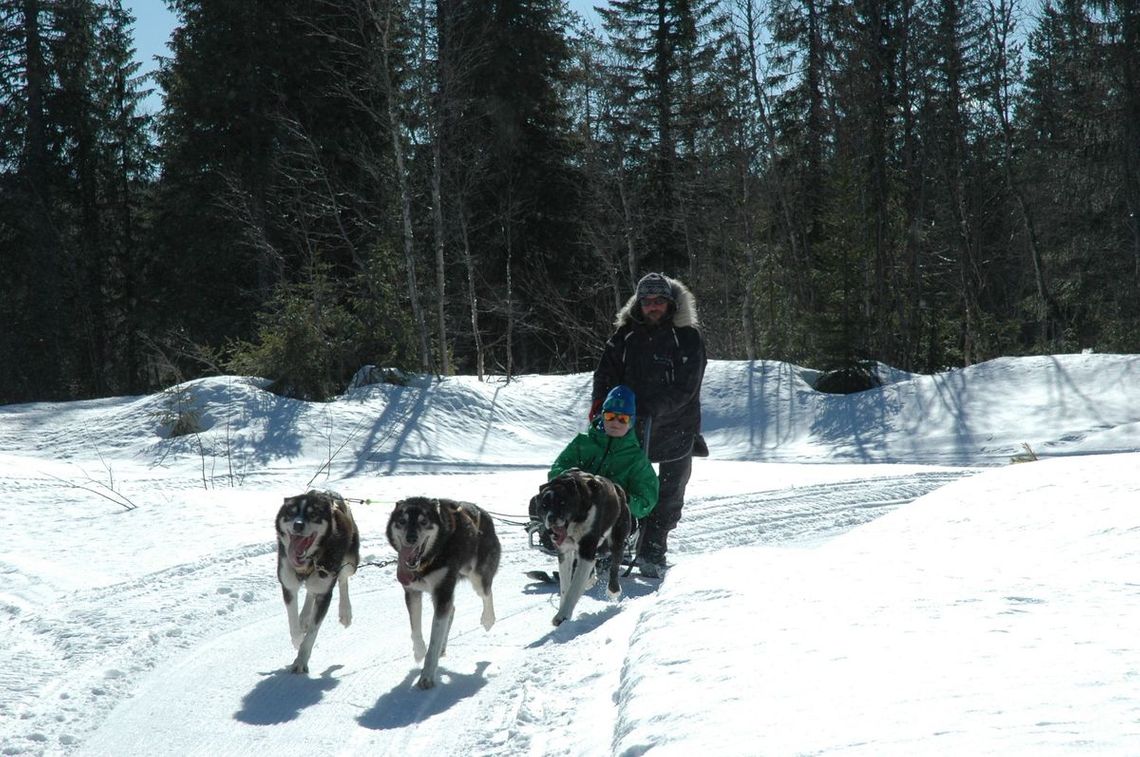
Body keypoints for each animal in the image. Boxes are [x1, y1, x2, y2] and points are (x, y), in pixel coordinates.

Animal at [273, 490, 357, 674]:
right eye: (291, 513)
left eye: (313, 515)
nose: (298, 525)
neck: (309, 561)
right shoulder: (288, 586)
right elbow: (293, 623)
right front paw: (297, 639)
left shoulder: (325, 593)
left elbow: (312, 632)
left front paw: (300, 661)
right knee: (311, 592)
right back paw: (304, 617)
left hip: (350, 563)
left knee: (343, 580)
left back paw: (345, 612)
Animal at [387, 499, 499, 688]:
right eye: (402, 521)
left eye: (424, 521)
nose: (411, 538)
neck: (428, 560)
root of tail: (484, 513)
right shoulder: (413, 592)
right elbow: (415, 629)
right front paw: (419, 651)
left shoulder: (443, 592)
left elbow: (434, 640)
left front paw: (426, 676)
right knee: (452, 610)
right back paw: (443, 646)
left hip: (476, 576)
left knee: (487, 593)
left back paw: (488, 619)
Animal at [533, 467, 633, 624]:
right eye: (544, 506)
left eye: (562, 502)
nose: (551, 518)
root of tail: (619, 490)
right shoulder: (565, 552)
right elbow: (565, 586)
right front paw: (563, 608)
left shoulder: (587, 547)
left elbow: (574, 588)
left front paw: (563, 615)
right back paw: (590, 579)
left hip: (617, 539)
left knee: (614, 565)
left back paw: (613, 590)